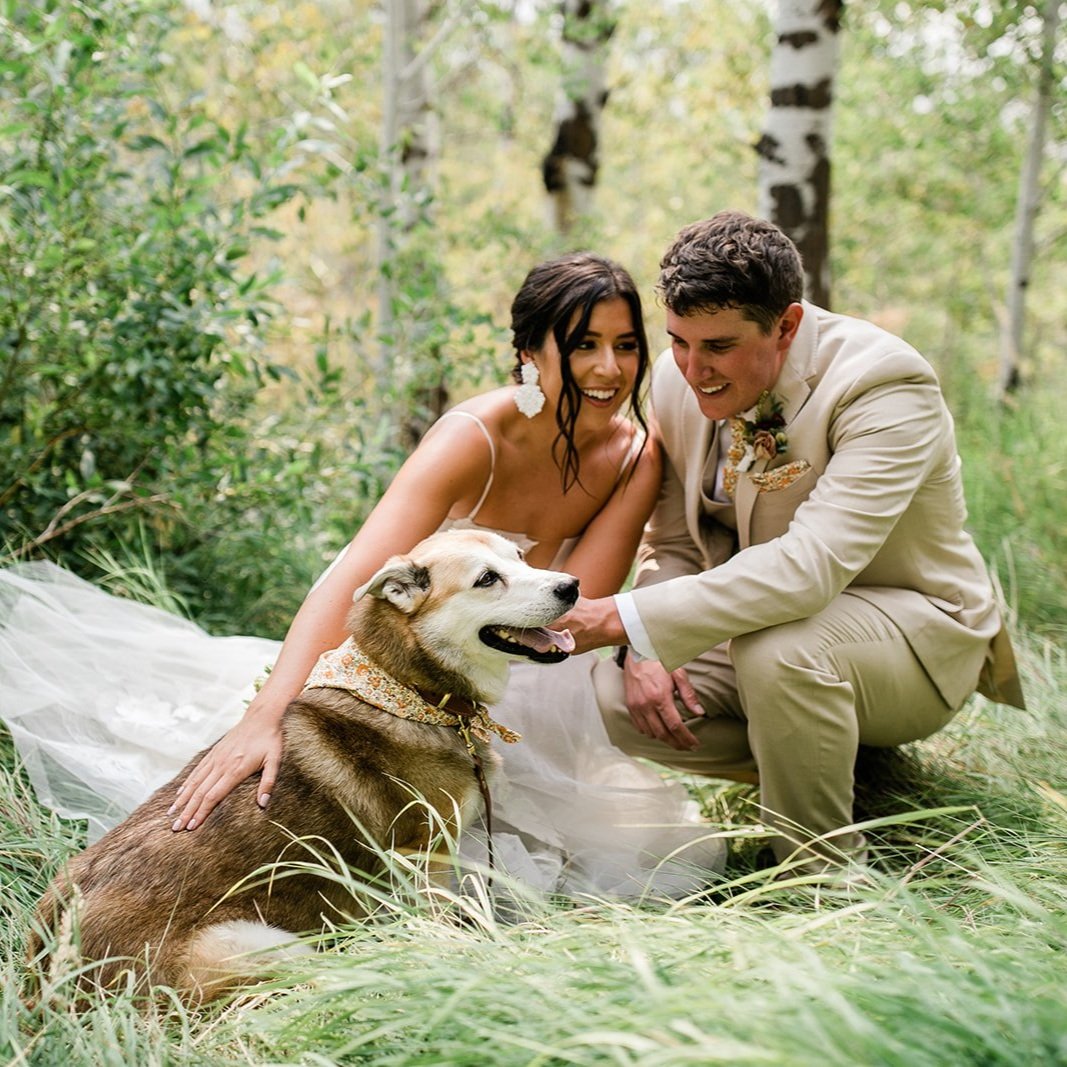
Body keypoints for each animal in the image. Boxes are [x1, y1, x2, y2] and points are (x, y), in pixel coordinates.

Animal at [27, 533, 576, 1007]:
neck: (412, 693)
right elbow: (444, 920)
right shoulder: (426, 857)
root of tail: (46, 983)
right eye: (487, 579)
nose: (571, 586)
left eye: (521, 559)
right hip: (260, 943)